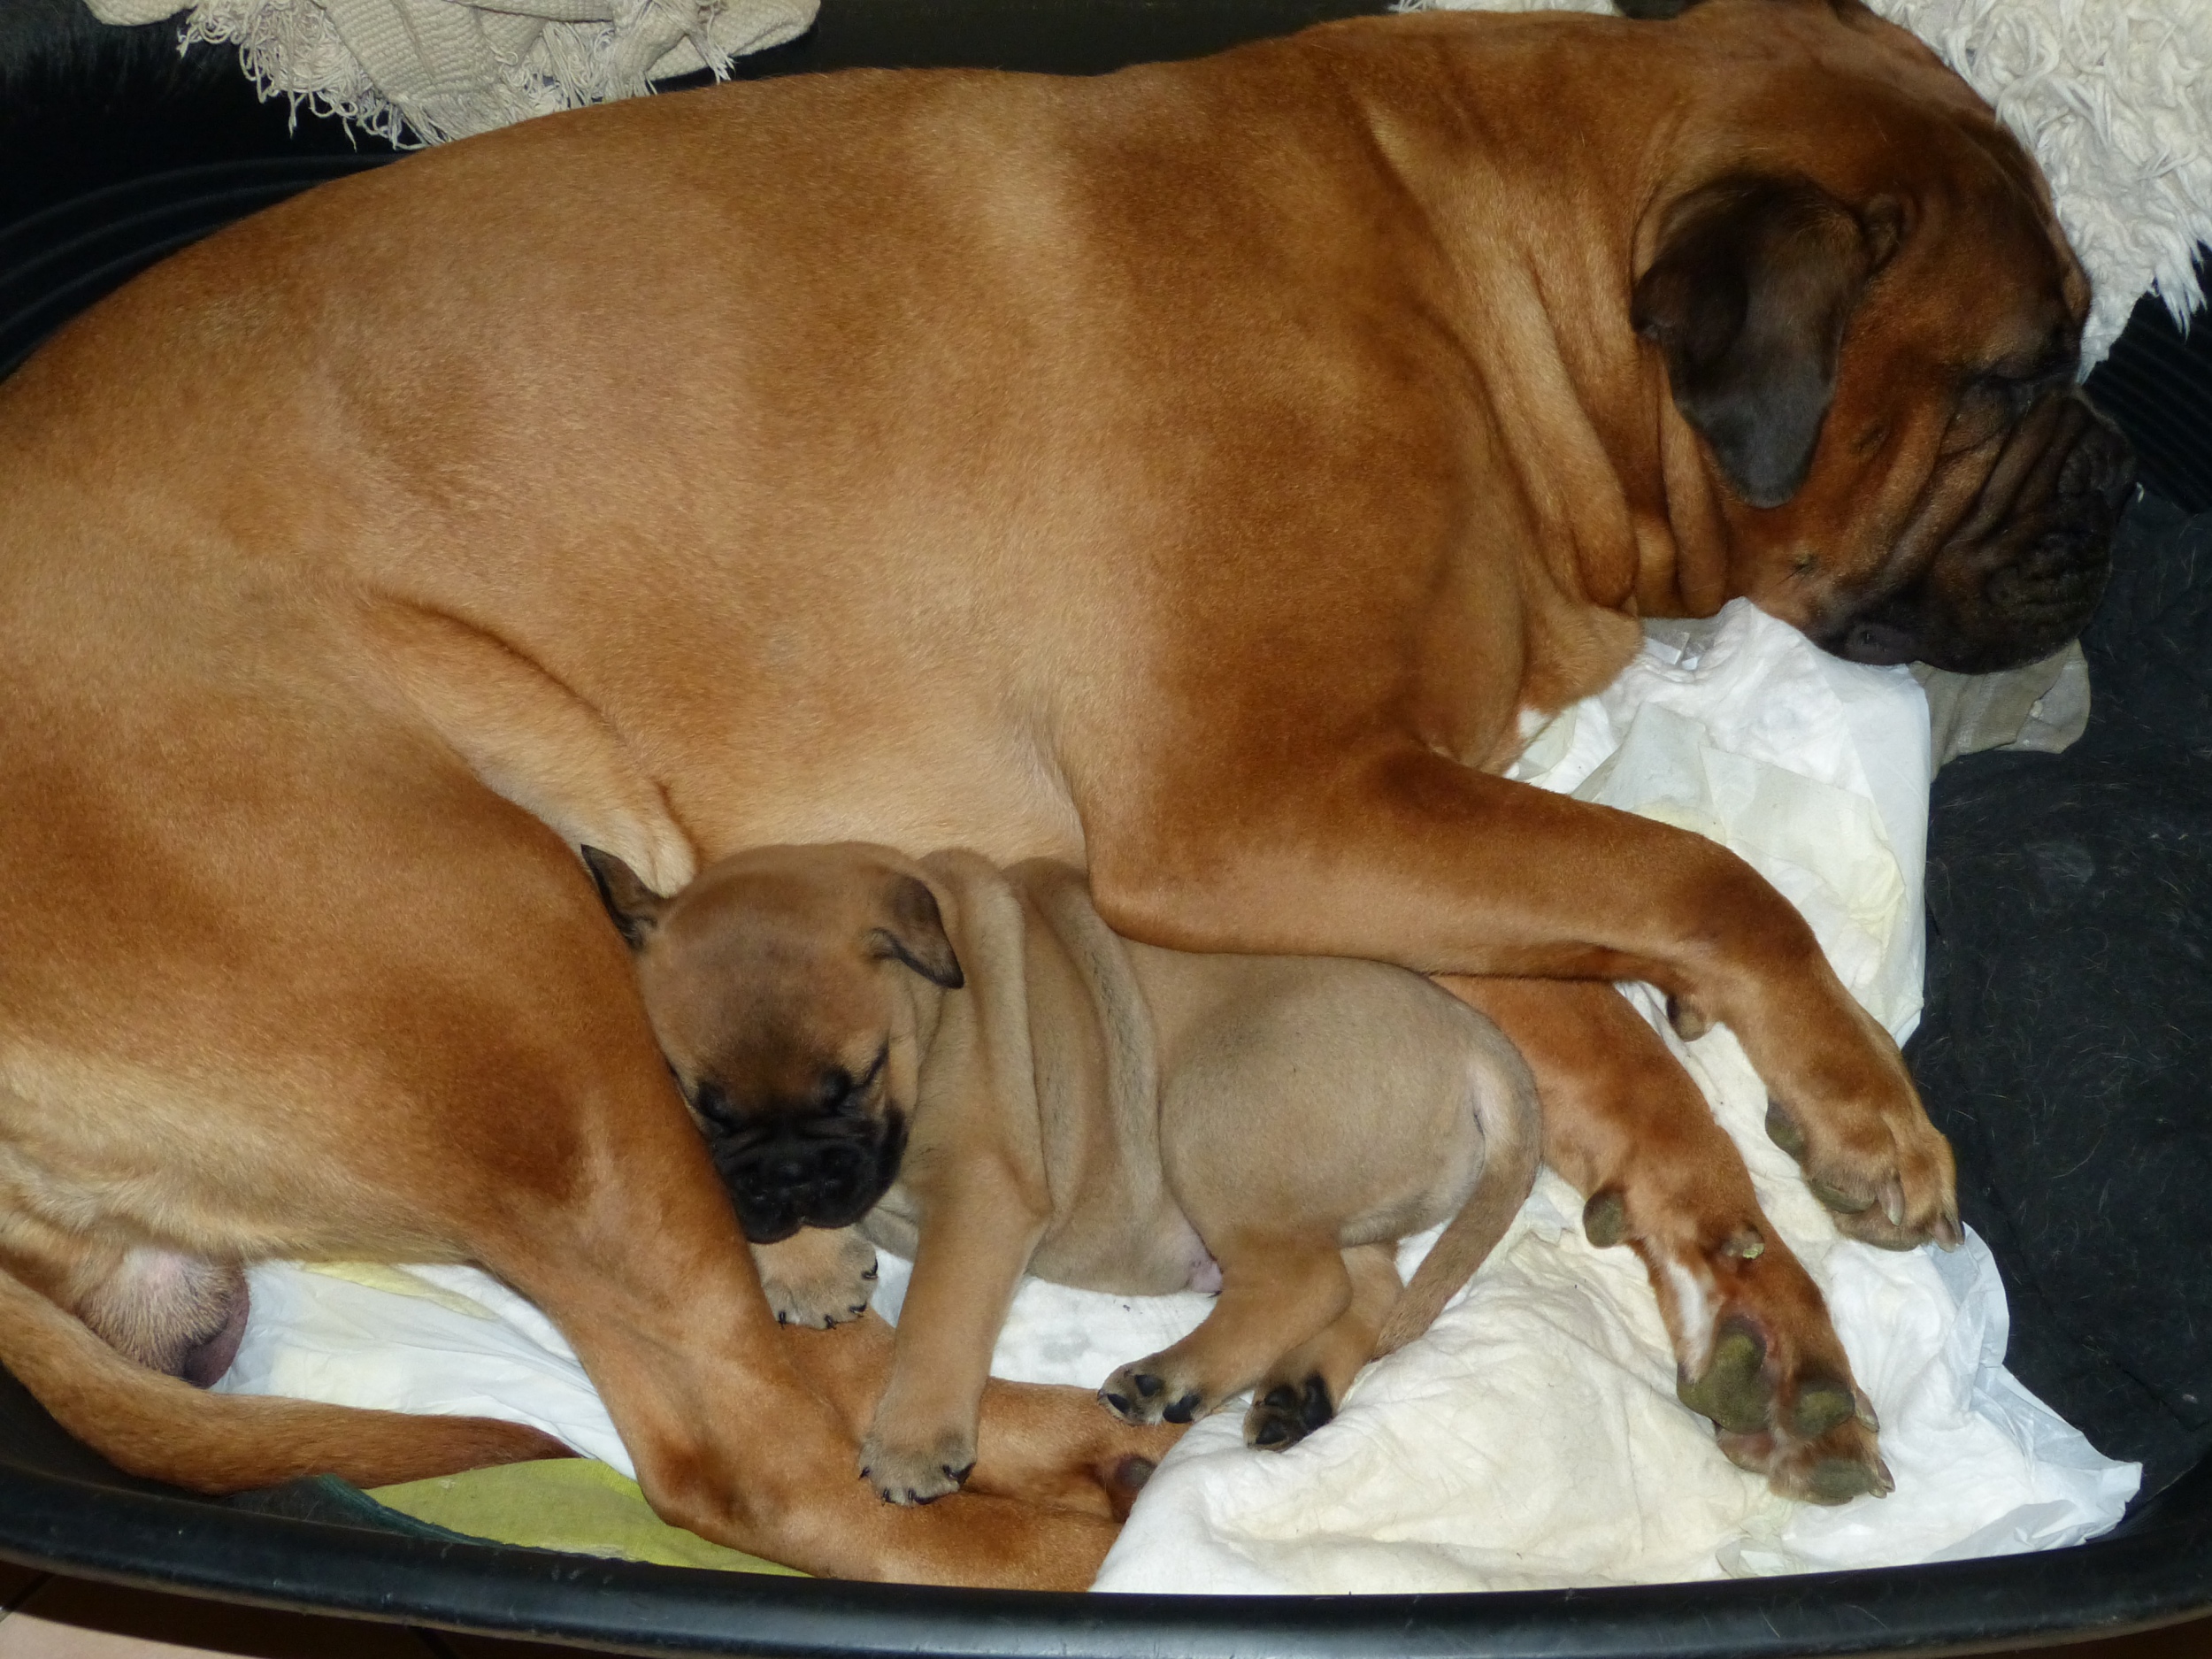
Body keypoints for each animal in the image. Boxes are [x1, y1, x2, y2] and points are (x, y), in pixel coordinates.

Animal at [582, 841, 1541, 1503]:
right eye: (705, 1104)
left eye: (856, 1080)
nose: (788, 1183)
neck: (934, 1009)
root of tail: (1471, 1032)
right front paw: (806, 1265)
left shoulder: (981, 1194)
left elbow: (937, 1318)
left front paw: (911, 1438)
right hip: (1331, 1194)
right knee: (1363, 1288)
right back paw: (1293, 1395)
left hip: (1214, 1112)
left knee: (1300, 1284)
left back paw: (1170, 1378)